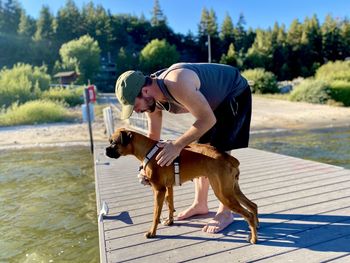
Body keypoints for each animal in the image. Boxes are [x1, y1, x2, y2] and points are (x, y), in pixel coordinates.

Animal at [105, 128, 258, 245]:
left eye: (113, 142)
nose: (106, 151)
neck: (149, 150)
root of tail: (226, 157)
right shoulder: (168, 188)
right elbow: (170, 205)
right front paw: (170, 221)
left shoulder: (159, 190)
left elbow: (156, 213)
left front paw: (152, 232)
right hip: (232, 190)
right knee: (253, 205)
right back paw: (256, 226)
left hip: (224, 194)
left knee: (248, 214)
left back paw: (254, 238)